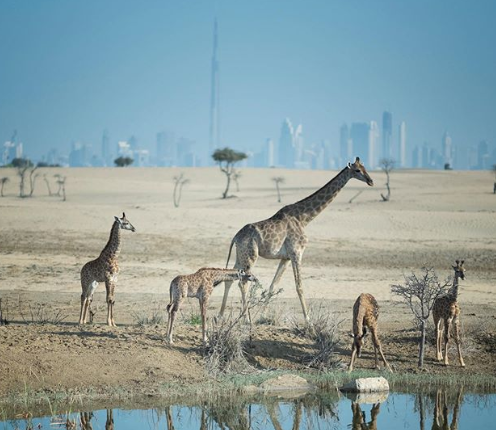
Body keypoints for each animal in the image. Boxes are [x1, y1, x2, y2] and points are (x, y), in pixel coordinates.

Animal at [220, 158, 372, 322]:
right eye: (357, 170)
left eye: (365, 168)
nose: (371, 181)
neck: (303, 218)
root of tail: (235, 237)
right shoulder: (296, 252)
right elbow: (299, 286)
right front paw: (308, 320)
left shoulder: (286, 257)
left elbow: (273, 285)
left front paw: (263, 315)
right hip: (250, 256)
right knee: (243, 283)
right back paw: (246, 319)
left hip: (240, 255)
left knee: (230, 278)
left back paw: (221, 316)